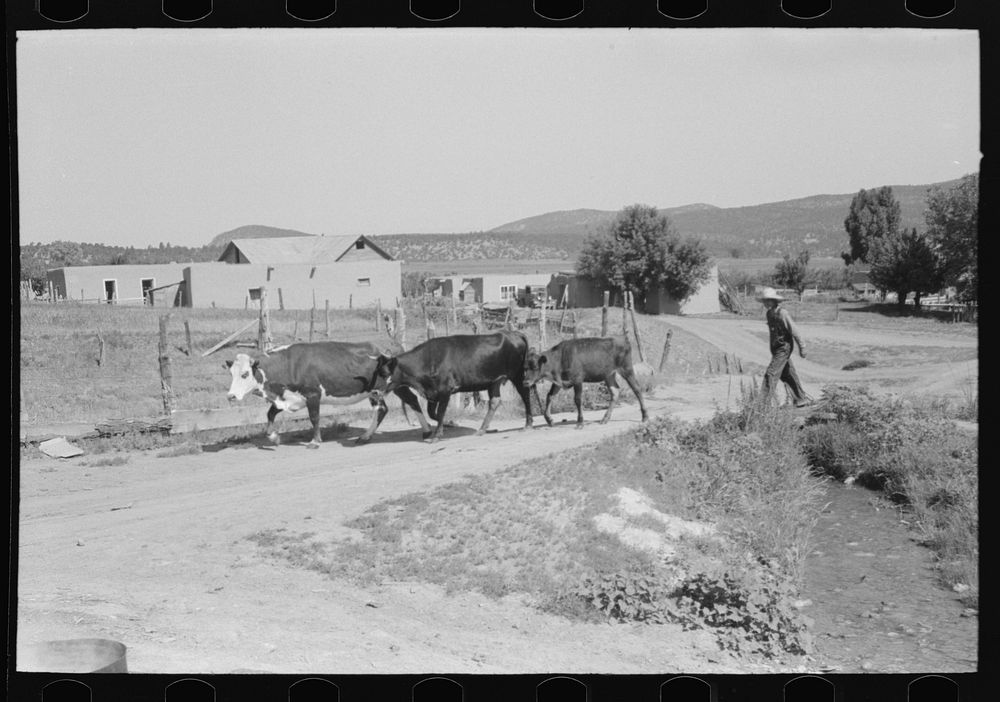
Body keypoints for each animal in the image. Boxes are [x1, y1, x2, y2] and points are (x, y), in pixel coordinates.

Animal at [227, 342, 430, 452]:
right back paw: (366, 436)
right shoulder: (288, 397)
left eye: (245, 374)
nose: (231, 396)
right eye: (231, 374)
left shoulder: (313, 395)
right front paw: (274, 437)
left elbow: (314, 418)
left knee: (410, 402)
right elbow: (269, 414)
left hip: (396, 385)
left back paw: (427, 431)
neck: (289, 364)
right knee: (385, 408)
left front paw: (315, 441)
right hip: (379, 390)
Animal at [374, 332, 532, 442]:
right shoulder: (433, 393)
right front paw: (450, 423)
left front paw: (437, 434)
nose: (374, 392)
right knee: (494, 401)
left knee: (525, 395)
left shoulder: (446, 390)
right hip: (495, 381)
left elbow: (441, 412)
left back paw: (528, 424)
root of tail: (512, 333)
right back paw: (482, 429)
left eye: (385, 373)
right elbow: (432, 413)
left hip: (517, 375)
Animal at [520, 336, 652, 428]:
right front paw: (549, 420)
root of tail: (624, 341)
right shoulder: (559, 382)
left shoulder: (578, 379)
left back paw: (645, 416)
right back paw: (605, 418)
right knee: (615, 392)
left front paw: (580, 422)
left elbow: (578, 400)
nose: (525, 382)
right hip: (609, 375)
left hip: (626, 369)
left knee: (637, 389)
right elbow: (549, 396)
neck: (560, 358)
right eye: (525, 368)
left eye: (535, 367)